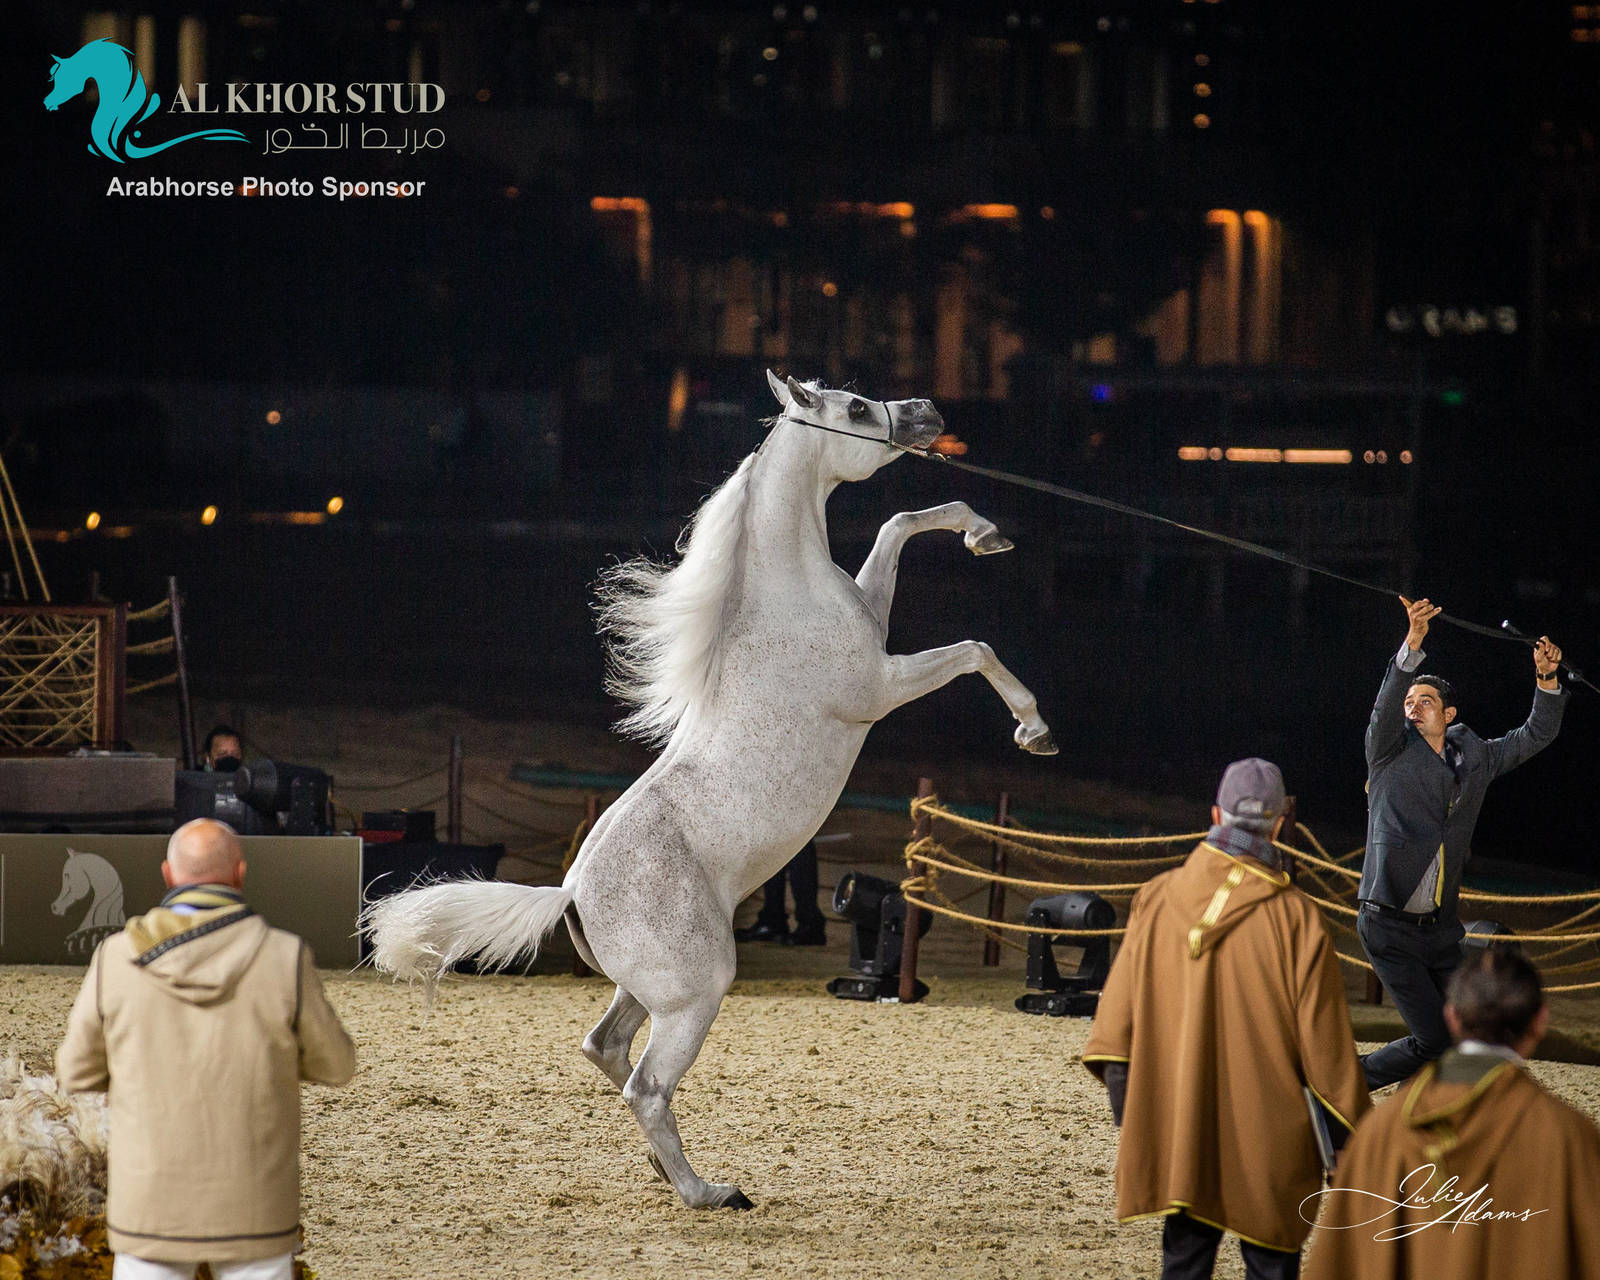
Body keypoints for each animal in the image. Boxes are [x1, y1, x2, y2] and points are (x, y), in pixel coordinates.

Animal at [366, 371, 1055, 1209]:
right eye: (856, 409)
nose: (927, 414)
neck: (790, 597)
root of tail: (568, 891)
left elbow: (899, 522)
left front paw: (984, 534)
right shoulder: (882, 687)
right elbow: (972, 648)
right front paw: (1034, 728)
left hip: (651, 992)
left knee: (607, 1049)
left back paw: (669, 1172)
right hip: (697, 992)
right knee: (644, 1084)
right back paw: (708, 1192)